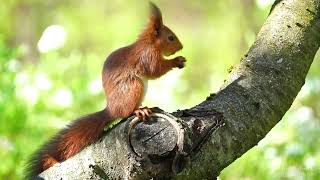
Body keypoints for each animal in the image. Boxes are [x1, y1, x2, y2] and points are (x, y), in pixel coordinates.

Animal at [26, 2, 186, 178]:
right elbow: (155, 70)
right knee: (126, 112)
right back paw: (139, 111)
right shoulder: (147, 57)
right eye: (171, 37)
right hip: (133, 87)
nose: (181, 47)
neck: (149, 43)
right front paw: (176, 61)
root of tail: (111, 110)